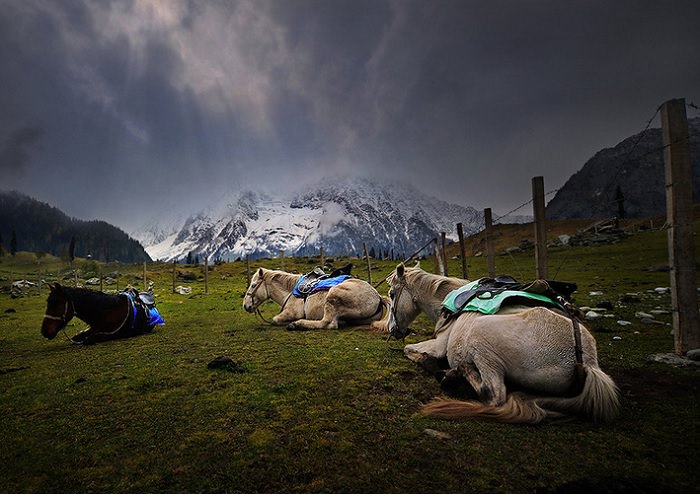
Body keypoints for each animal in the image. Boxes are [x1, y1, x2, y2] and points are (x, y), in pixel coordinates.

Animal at [243, 266, 388, 332]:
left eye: (253, 285)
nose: (245, 305)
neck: (291, 291)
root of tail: (378, 297)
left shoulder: (291, 313)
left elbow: (275, 320)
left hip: (332, 295)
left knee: (328, 323)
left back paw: (297, 324)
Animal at [386, 264, 620, 422]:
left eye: (392, 293)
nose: (391, 330)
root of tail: (586, 360)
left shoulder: (439, 345)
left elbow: (408, 349)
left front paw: (427, 361)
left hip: (481, 342)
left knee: (494, 394)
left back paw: (455, 374)